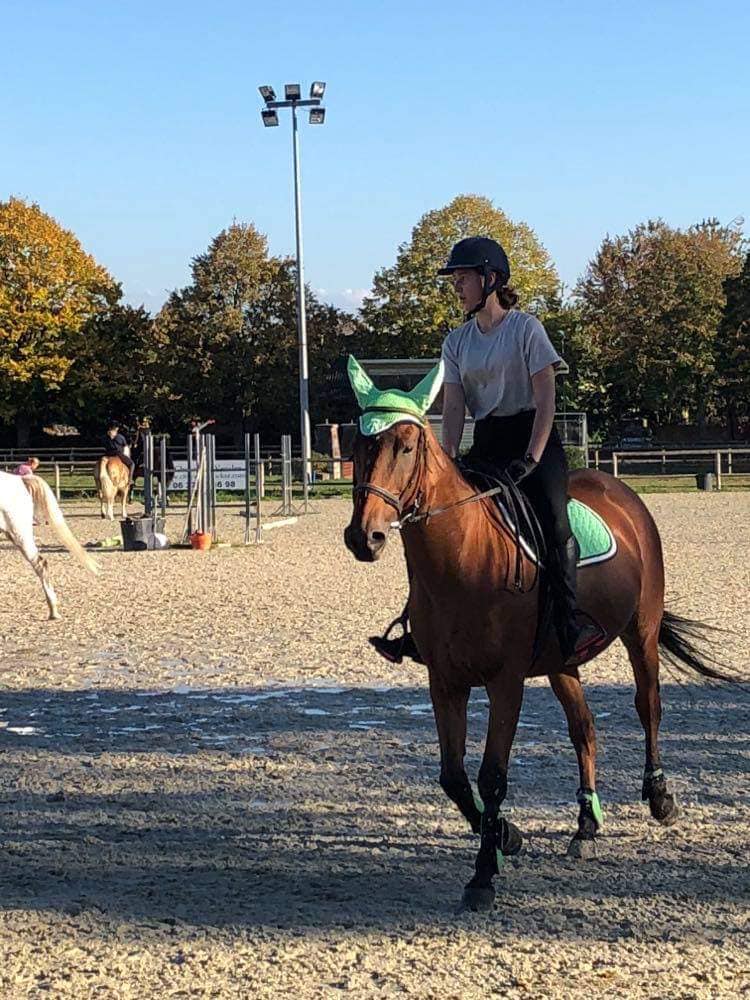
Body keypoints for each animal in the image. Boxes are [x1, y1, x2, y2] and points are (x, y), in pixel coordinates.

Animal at [346, 360, 736, 916]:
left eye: (405, 445)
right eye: (358, 445)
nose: (365, 536)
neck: (462, 557)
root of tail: (620, 492)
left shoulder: (506, 682)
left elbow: (492, 774)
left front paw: (484, 874)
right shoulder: (445, 682)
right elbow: (453, 775)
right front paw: (506, 837)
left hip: (641, 631)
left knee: (648, 707)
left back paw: (660, 797)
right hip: (560, 661)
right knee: (584, 729)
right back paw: (587, 826)